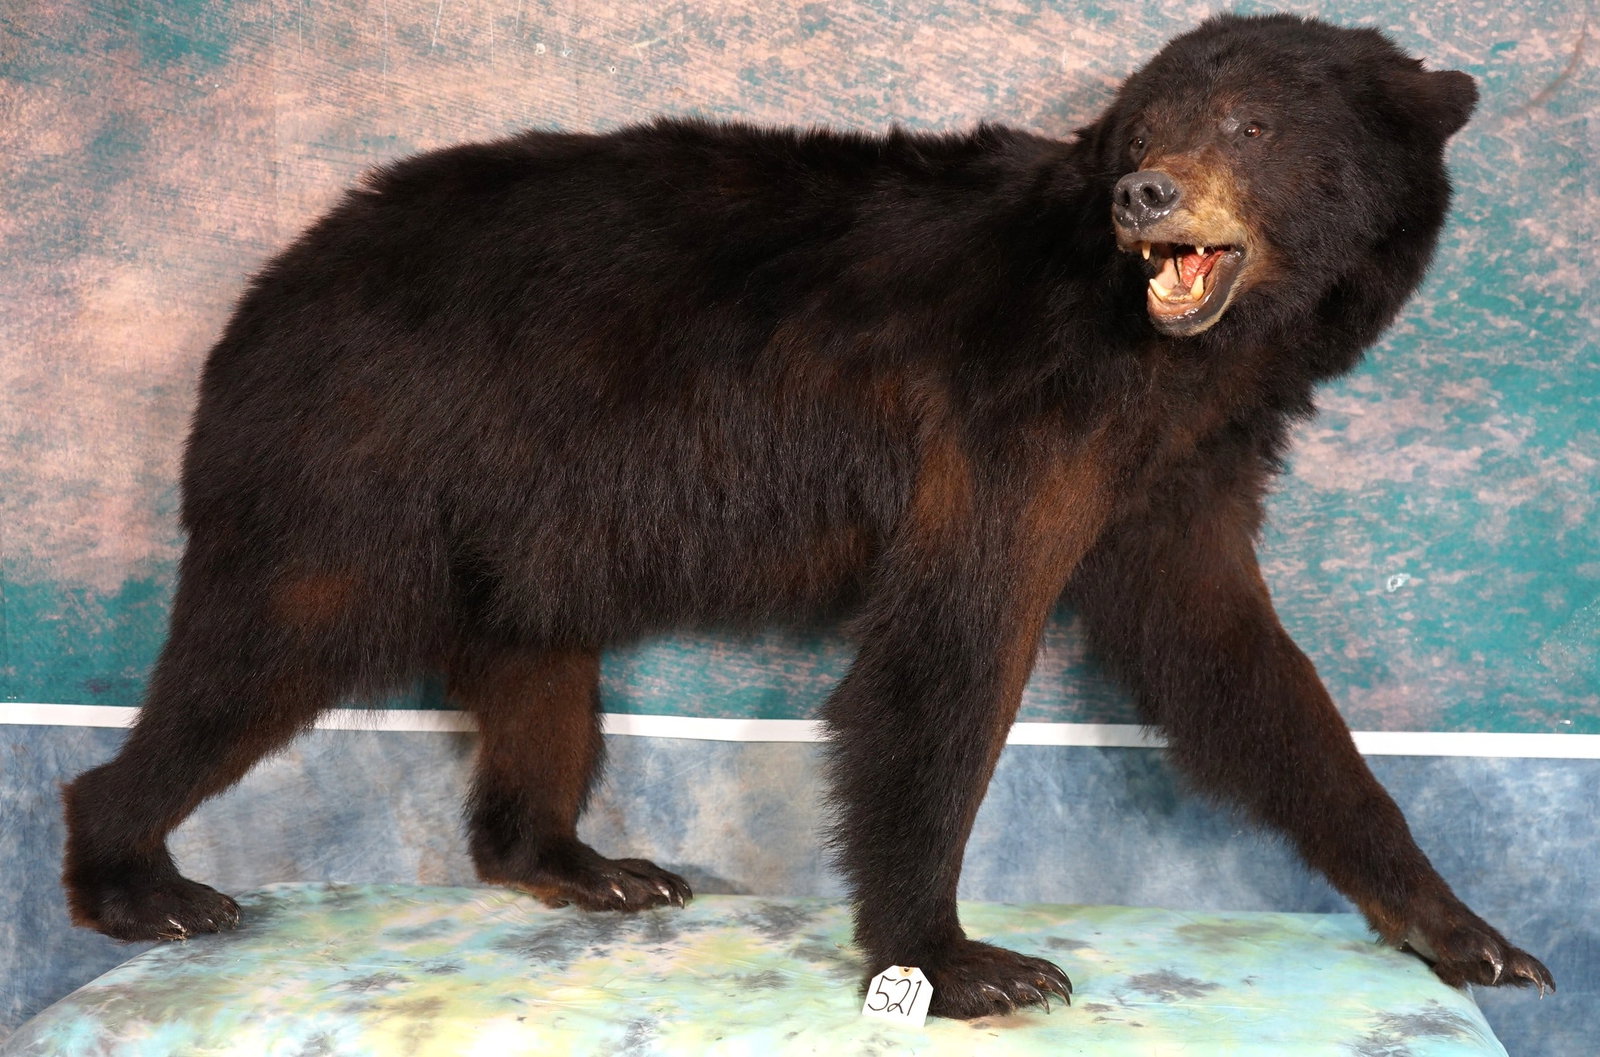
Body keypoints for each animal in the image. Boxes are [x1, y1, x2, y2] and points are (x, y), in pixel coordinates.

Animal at [63, 13, 1553, 1019]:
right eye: (1143, 128)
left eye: (1251, 125)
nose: (1147, 193)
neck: (1178, 362)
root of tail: (277, 275)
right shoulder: (1016, 421)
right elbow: (948, 651)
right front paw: (955, 957)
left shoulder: (1169, 476)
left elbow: (1243, 670)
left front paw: (1464, 926)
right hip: (356, 463)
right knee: (264, 641)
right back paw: (137, 873)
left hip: (533, 526)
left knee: (542, 679)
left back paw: (585, 862)